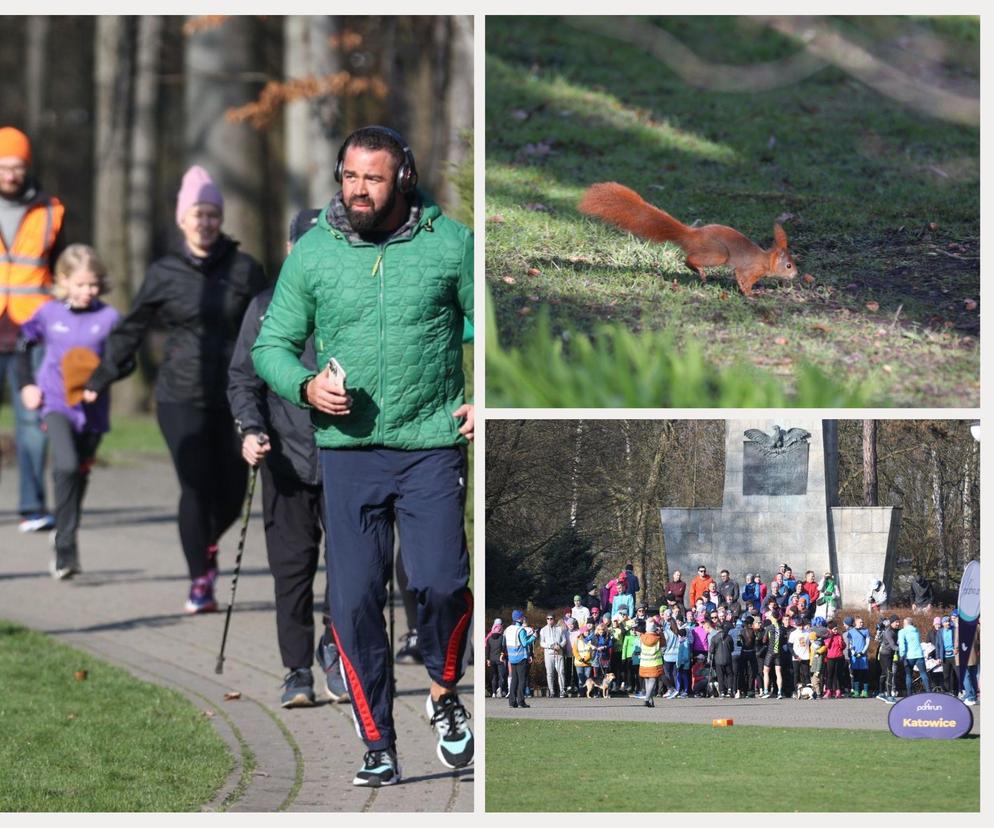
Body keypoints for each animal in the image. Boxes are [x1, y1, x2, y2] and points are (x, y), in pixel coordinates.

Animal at [576, 182, 796, 298]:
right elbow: (743, 279)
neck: (766, 260)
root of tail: (692, 234)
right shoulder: (749, 269)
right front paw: (750, 294)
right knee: (689, 259)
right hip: (718, 253)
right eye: (788, 266)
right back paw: (700, 271)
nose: (796, 274)